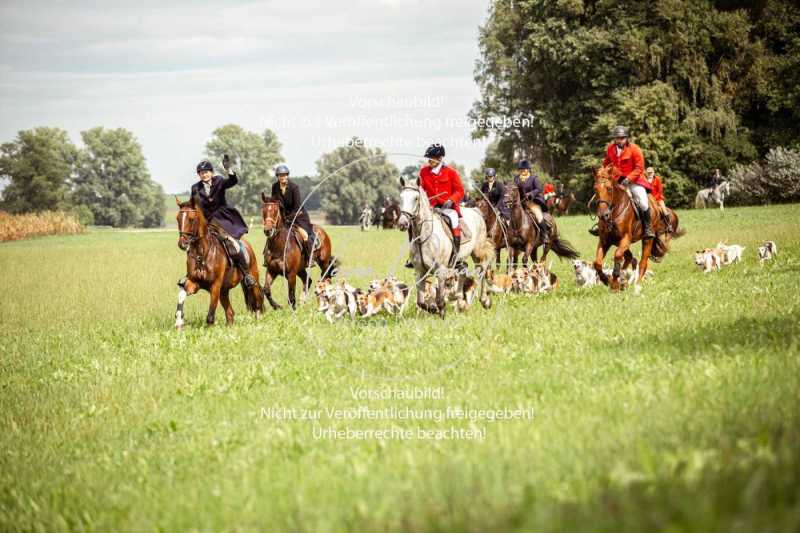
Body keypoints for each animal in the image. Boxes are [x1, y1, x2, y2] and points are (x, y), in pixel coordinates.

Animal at [174, 195, 262, 328]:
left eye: (191, 219)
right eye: (178, 219)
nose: (182, 244)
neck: (201, 254)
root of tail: (247, 245)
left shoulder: (215, 285)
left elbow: (210, 315)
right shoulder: (194, 283)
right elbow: (181, 294)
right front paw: (179, 321)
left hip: (252, 281)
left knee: (256, 304)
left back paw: (258, 323)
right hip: (224, 291)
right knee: (230, 313)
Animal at [396, 177, 494, 316]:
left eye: (416, 198)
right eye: (401, 197)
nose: (402, 223)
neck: (424, 237)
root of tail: (475, 211)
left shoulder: (440, 271)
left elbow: (440, 300)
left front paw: (441, 312)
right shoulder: (419, 272)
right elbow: (421, 302)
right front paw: (433, 309)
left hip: (477, 251)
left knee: (483, 268)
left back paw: (484, 300)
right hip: (459, 259)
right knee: (464, 269)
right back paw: (459, 299)